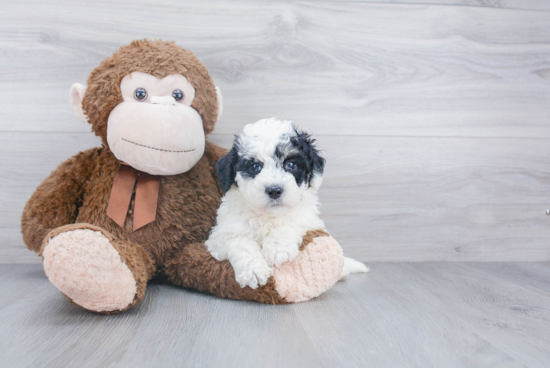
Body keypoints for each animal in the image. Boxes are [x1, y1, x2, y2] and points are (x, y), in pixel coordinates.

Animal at [205, 119, 368, 288]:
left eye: (290, 165)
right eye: (255, 167)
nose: (274, 190)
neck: (268, 215)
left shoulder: (309, 220)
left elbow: (289, 224)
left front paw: (278, 249)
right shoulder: (221, 235)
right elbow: (240, 243)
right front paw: (254, 271)